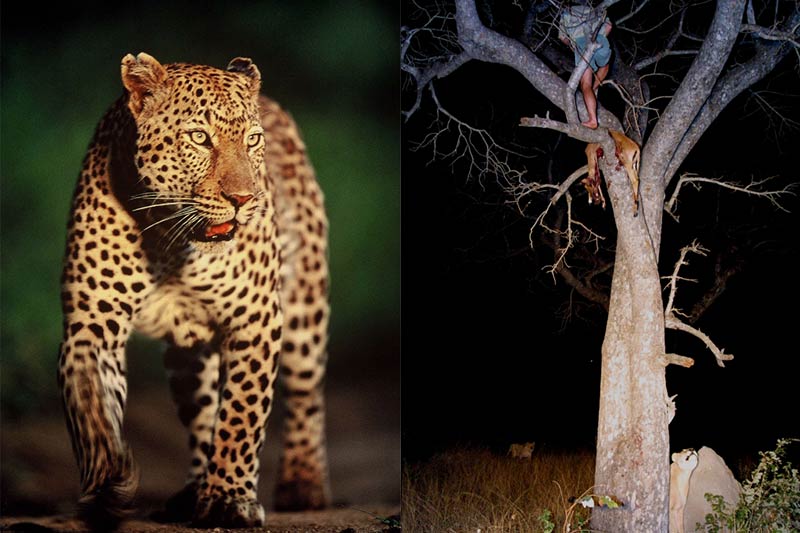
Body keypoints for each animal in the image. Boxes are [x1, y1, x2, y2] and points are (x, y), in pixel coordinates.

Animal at [57, 52, 330, 529]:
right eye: (200, 138)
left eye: (252, 140)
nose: (244, 199)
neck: (168, 236)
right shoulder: (91, 323)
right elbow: (90, 402)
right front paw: (108, 484)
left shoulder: (256, 317)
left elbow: (242, 413)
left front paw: (228, 500)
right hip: (187, 355)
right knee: (202, 413)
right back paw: (192, 492)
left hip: (304, 311)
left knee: (305, 394)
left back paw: (303, 483)